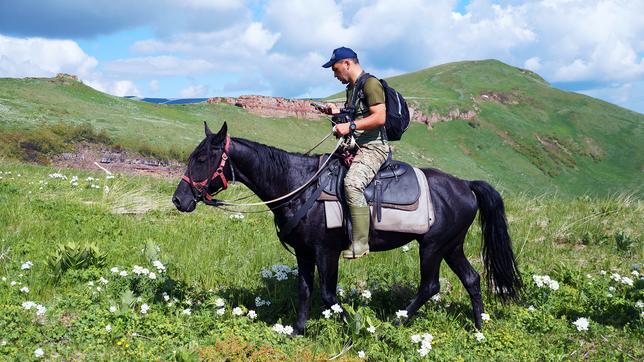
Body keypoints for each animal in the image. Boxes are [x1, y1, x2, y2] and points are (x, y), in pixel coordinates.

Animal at [174, 121, 520, 334]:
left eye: (202, 158)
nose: (180, 199)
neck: (299, 186)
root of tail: (465, 185)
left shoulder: (326, 251)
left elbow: (328, 294)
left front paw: (352, 328)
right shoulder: (303, 252)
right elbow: (305, 289)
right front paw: (297, 331)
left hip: (432, 247)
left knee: (430, 286)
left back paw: (396, 323)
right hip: (452, 245)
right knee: (472, 279)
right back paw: (478, 327)